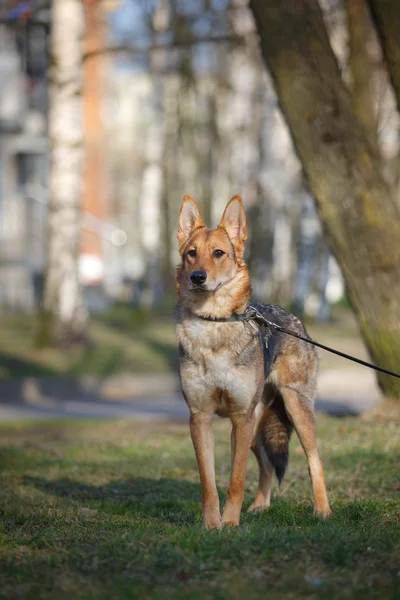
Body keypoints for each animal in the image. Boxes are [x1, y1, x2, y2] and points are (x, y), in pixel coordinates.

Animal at [176, 195, 332, 528]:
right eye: (191, 254)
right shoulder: (200, 419)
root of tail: (295, 320)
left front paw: (230, 525)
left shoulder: (240, 418)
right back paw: (261, 506)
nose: (197, 277)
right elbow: (209, 484)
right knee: (267, 465)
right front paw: (212, 526)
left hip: (294, 411)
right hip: (254, 429)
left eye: (218, 253)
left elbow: (235, 480)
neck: (214, 323)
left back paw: (323, 511)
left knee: (315, 460)